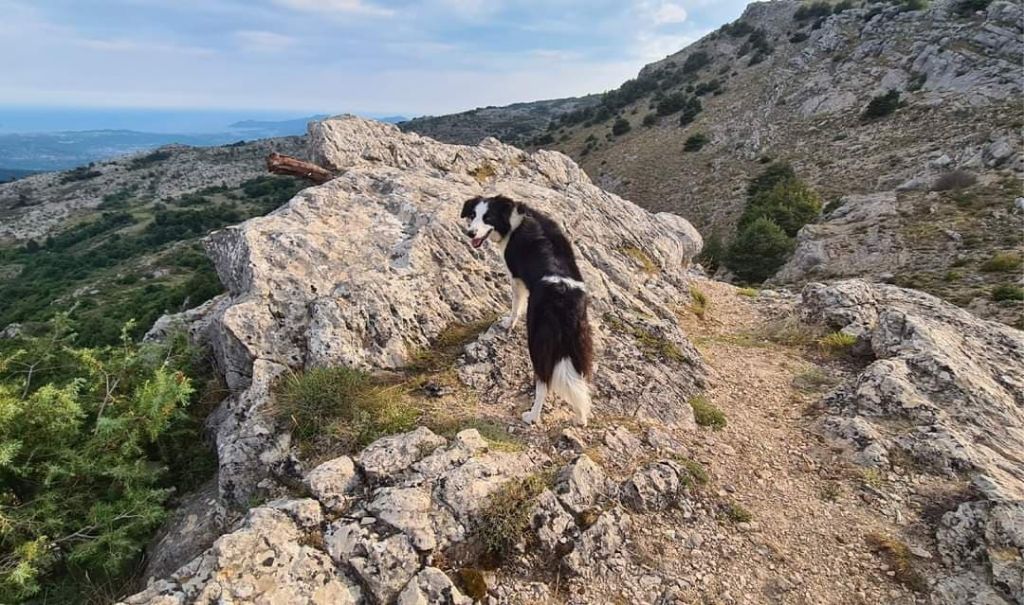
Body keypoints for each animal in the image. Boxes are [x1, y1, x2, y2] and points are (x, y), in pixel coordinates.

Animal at [462, 195, 598, 425]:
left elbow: (516, 305)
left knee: (544, 383)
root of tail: (565, 301)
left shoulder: (515, 277)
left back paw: (532, 416)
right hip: (580, 344)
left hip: (538, 342)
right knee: (580, 384)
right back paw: (581, 418)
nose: (470, 233)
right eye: (473, 215)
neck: (512, 220)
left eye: (487, 217)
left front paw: (508, 323)